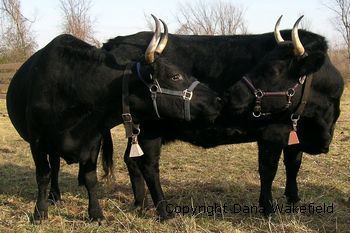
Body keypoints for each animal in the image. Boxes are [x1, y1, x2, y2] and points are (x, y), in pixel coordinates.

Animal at [5, 15, 221, 222]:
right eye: (175, 76)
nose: (217, 99)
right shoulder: (37, 140)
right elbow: (43, 175)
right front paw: (39, 213)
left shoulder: (94, 139)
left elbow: (91, 177)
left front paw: (96, 214)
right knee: (55, 167)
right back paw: (54, 196)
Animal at [100, 16, 342, 218]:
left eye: (272, 70)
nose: (228, 95)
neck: (320, 122)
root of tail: (115, 41)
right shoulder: (272, 133)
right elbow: (268, 170)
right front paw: (268, 209)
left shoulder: (294, 133)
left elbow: (293, 164)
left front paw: (293, 200)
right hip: (150, 129)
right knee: (148, 164)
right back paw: (163, 210)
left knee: (131, 160)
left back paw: (139, 203)